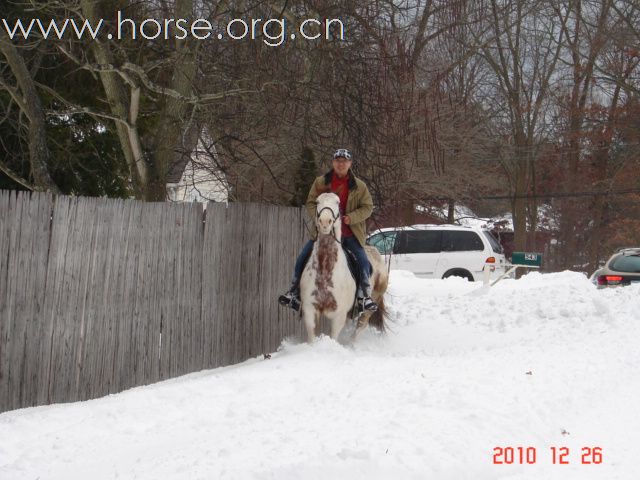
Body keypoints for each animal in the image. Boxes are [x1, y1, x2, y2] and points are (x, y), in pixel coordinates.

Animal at [302, 191, 390, 342]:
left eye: (337, 202)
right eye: (317, 201)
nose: (325, 222)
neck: (326, 270)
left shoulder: (339, 316)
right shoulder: (310, 310)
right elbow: (312, 338)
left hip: (373, 300)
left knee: (361, 325)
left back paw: (351, 344)